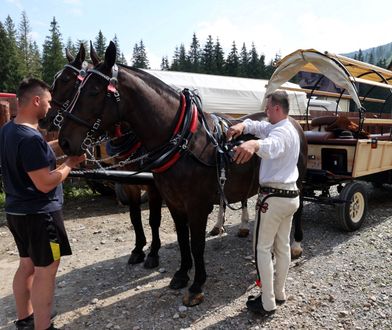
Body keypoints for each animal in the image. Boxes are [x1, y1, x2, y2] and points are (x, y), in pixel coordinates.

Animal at [39, 43, 162, 268]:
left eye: (66, 80)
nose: (44, 118)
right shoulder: (130, 184)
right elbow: (134, 217)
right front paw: (138, 249)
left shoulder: (153, 185)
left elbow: (154, 219)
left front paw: (154, 253)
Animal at [57, 41, 306, 306]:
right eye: (76, 86)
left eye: (93, 91)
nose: (64, 141)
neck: (184, 141)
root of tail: (291, 121)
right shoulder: (174, 202)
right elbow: (181, 239)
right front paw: (181, 273)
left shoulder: (196, 205)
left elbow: (195, 243)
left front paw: (196, 285)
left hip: (298, 182)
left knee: (298, 208)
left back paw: (296, 243)